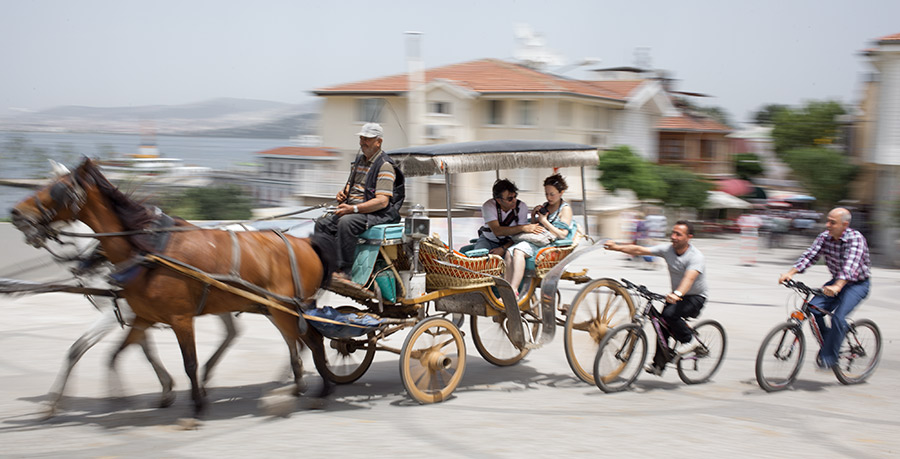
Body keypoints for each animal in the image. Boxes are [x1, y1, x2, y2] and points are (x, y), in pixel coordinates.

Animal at [11, 159, 334, 420]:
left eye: (56, 189)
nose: (15, 213)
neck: (147, 250)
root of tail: (306, 243)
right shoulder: (141, 316)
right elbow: (128, 352)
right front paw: (154, 392)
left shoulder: (170, 317)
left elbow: (183, 361)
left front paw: (193, 400)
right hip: (269, 306)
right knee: (286, 339)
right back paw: (297, 381)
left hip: (284, 306)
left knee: (307, 340)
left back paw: (312, 383)